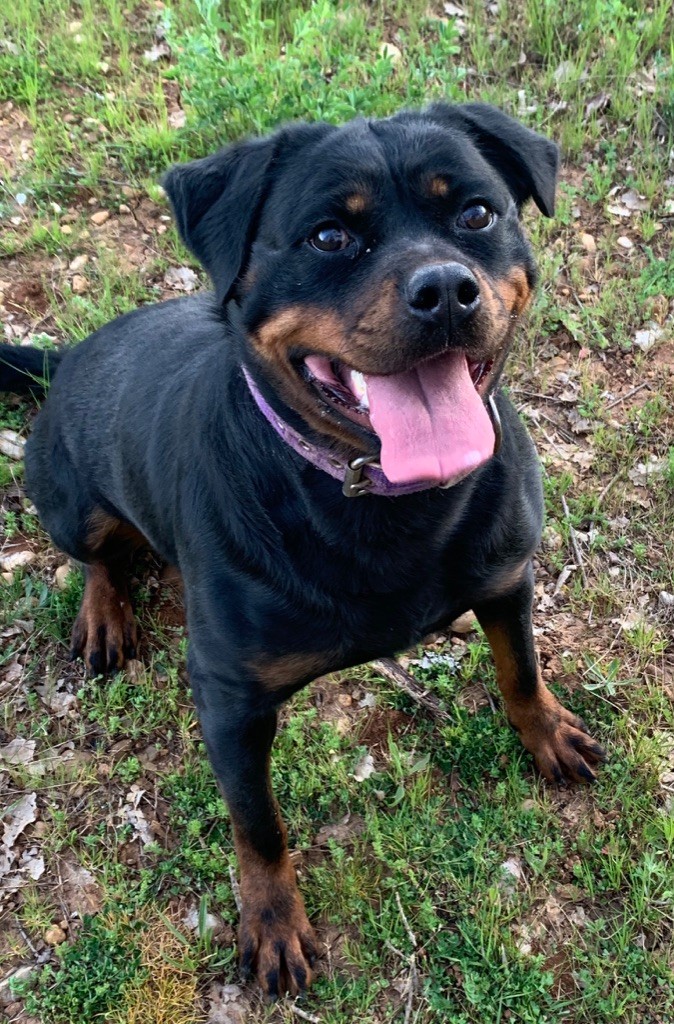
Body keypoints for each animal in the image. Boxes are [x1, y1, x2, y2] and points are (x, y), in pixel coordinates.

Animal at [0, 103, 605, 997]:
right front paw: (273, 920)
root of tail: (70, 352)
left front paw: (548, 731)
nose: (445, 289)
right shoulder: (231, 701)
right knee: (97, 555)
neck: (382, 495)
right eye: (328, 236)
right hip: (74, 502)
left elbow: (520, 669)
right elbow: (258, 825)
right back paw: (105, 613)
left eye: (476, 214)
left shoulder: (506, 577)